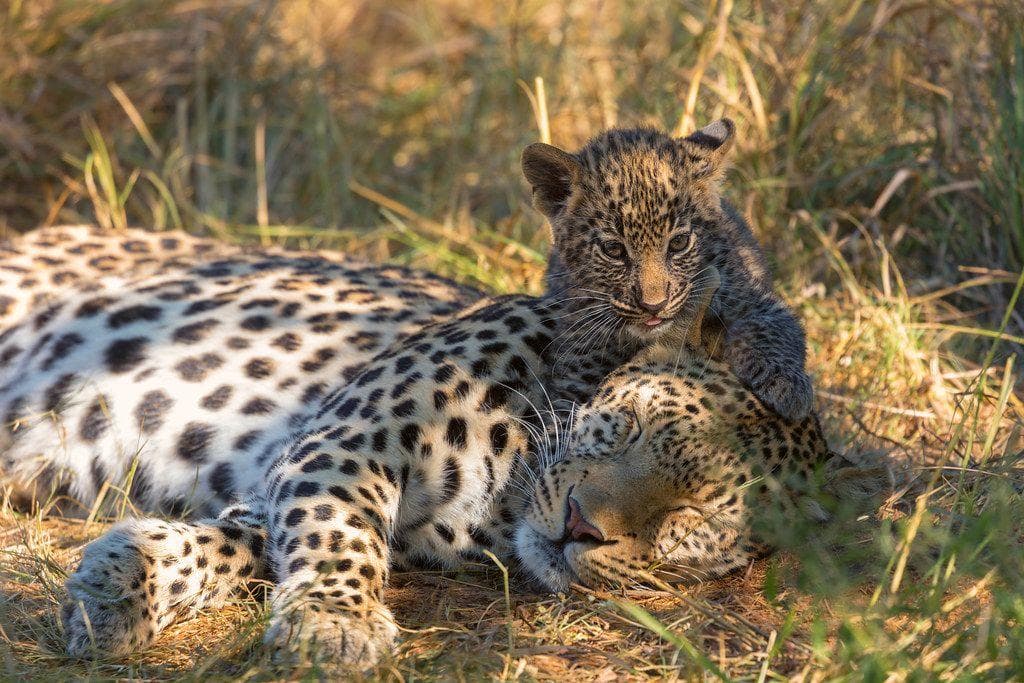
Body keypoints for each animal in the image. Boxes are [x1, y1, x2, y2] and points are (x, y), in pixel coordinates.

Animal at [0, 227, 832, 669]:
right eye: (627, 421)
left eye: (688, 524)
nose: (580, 524)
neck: (507, 493)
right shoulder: (347, 443)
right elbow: (339, 534)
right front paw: (335, 623)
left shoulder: (293, 487)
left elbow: (239, 545)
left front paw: (118, 585)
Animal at [521, 119, 815, 422]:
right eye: (613, 250)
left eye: (679, 243)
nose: (654, 306)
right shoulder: (580, 344)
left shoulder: (749, 295)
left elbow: (771, 327)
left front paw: (788, 388)